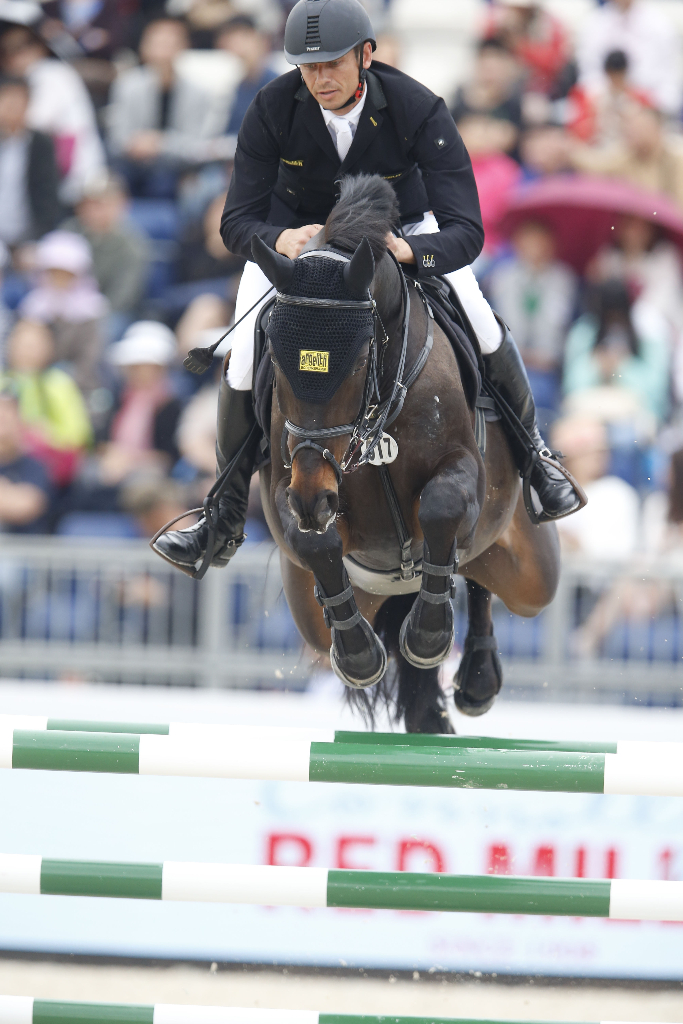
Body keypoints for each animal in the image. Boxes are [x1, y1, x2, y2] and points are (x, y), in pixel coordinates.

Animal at [250, 174, 561, 729]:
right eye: (277, 363)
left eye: (358, 360)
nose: (313, 498)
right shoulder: (291, 491)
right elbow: (314, 542)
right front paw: (359, 655)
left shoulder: (463, 472)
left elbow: (442, 507)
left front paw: (427, 637)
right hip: (311, 612)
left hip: (529, 569)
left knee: (479, 573)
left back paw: (476, 677)